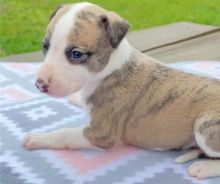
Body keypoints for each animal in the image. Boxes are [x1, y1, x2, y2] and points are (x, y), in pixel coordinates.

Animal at [22, 2, 220, 179]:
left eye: (76, 54)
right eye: (44, 46)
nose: (39, 84)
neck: (112, 66)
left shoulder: (102, 134)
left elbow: (65, 134)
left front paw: (37, 138)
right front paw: (76, 98)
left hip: (205, 125)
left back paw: (203, 168)